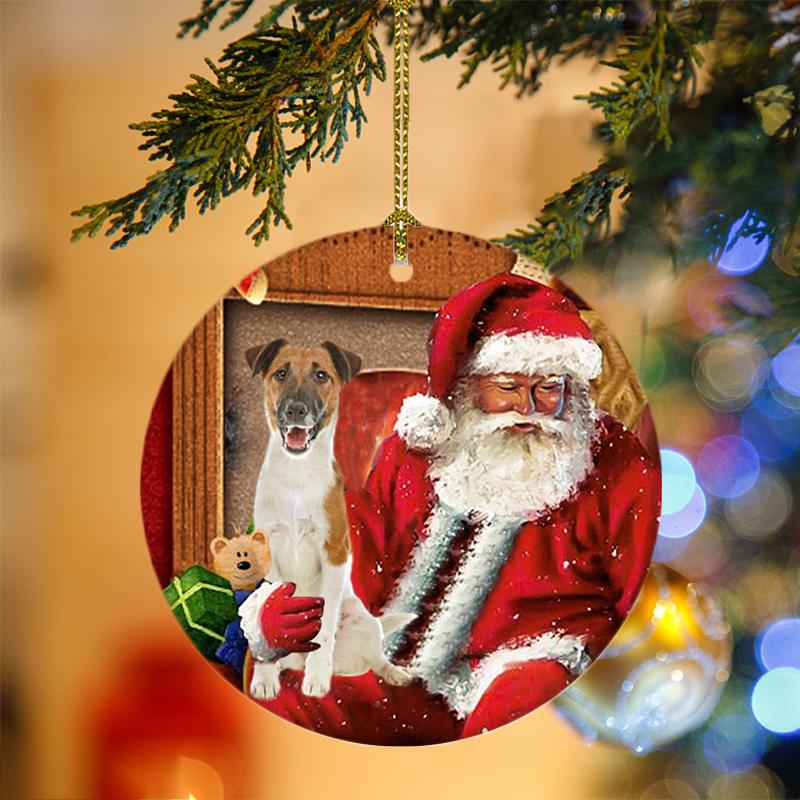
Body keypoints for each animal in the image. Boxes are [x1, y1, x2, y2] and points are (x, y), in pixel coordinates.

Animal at [238, 340, 412, 696]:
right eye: (280, 373)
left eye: (322, 375)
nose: (296, 410)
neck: (297, 475)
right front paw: (265, 678)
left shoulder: (334, 553)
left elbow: (325, 625)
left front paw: (317, 678)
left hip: (361, 619)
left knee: (375, 657)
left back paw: (391, 674)